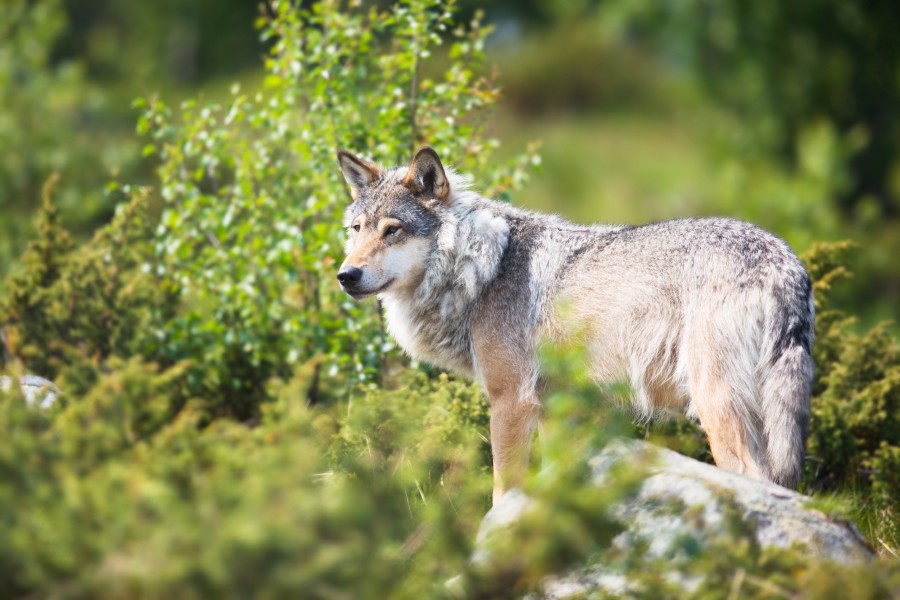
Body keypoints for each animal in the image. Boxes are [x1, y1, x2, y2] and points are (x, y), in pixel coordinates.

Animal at [336, 146, 816, 502]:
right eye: (357, 230)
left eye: (392, 231)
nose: (346, 275)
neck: (481, 267)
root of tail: (784, 264)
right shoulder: (556, 411)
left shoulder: (511, 402)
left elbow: (503, 490)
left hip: (715, 407)